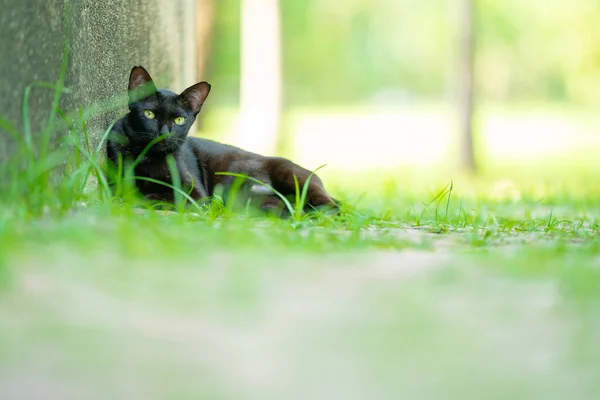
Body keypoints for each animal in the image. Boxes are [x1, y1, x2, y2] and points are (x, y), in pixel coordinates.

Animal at [104, 67, 338, 214]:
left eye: (179, 120)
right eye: (150, 114)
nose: (164, 133)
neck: (150, 157)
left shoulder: (196, 192)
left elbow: (167, 197)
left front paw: (149, 196)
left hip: (291, 175)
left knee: (329, 205)